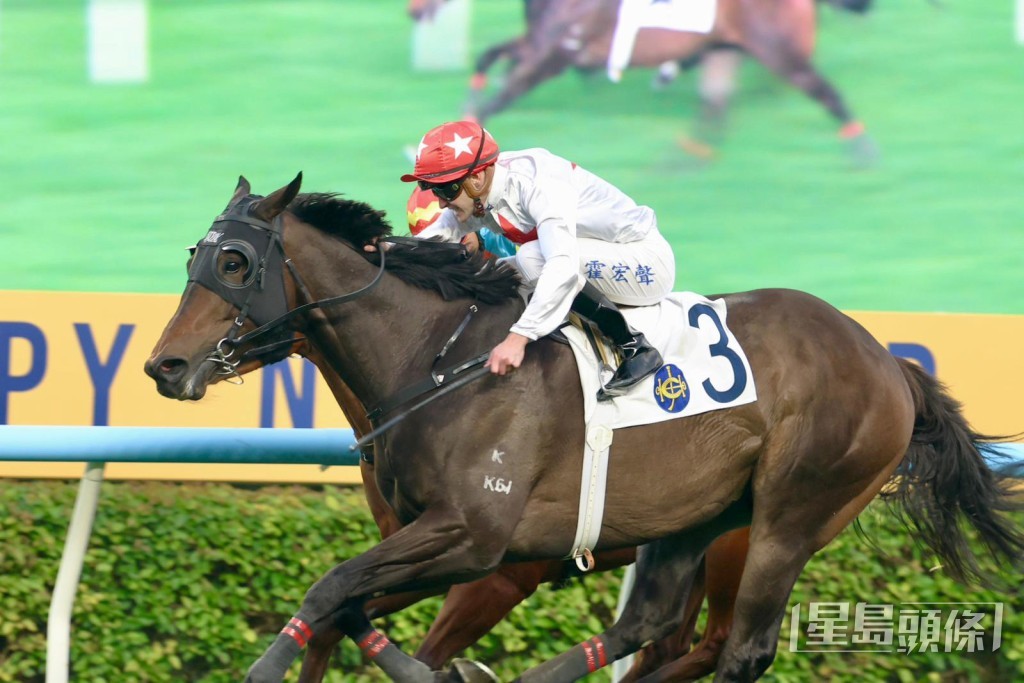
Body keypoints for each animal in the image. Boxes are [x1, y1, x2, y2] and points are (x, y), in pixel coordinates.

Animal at [145, 175, 1023, 682]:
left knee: (735, 648)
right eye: (193, 255)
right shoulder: (439, 544)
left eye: (234, 263)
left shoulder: (480, 544)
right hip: (695, 514)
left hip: (787, 517)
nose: (164, 365)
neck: (438, 360)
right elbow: (343, 603)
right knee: (651, 625)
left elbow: (332, 587)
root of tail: (889, 360)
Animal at [408, 0, 878, 164]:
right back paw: (682, 161)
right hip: (722, 50)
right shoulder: (543, 44)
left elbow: (503, 95)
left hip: (778, 52)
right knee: (715, 107)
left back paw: (862, 152)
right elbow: (492, 57)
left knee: (825, 92)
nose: (413, 11)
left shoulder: (556, 55)